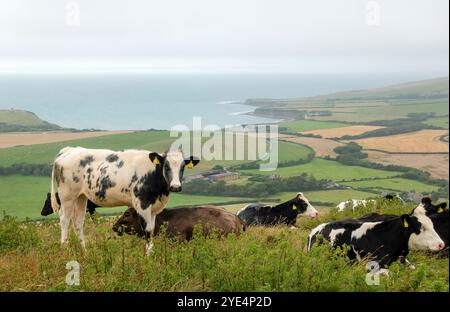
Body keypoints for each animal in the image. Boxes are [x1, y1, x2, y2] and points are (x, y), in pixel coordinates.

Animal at [49, 146, 199, 251]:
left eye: (183, 167)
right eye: (166, 166)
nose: (176, 186)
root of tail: (69, 150)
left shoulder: (154, 209)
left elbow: (152, 229)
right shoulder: (142, 204)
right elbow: (147, 231)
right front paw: (149, 256)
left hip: (81, 196)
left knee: (78, 222)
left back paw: (84, 253)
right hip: (67, 196)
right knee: (65, 220)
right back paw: (65, 249)